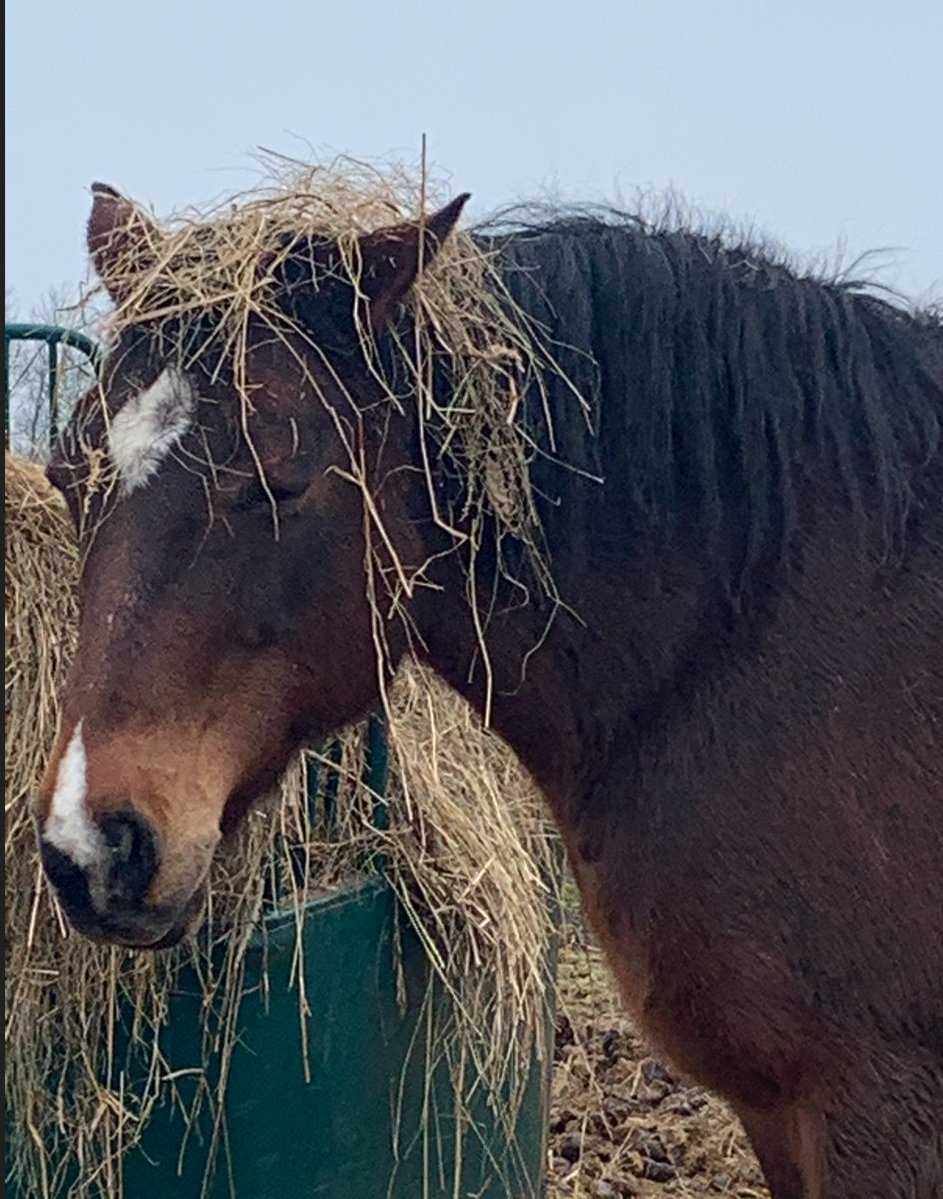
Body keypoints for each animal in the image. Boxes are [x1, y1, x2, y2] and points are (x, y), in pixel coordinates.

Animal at [33, 180, 942, 1199]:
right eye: (67, 474)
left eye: (281, 479)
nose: (89, 848)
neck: (744, 634)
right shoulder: (779, 1111)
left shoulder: (873, 1106)